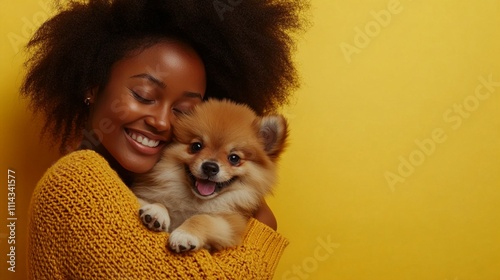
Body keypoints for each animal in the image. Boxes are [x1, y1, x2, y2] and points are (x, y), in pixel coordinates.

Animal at [133, 99, 288, 253]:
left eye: (234, 158)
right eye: (196, 146)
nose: (210, 167)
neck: (195, 201)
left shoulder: (230, 224)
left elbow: (204, 218)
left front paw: (185, 234)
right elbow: (157, 202)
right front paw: (156, 211)